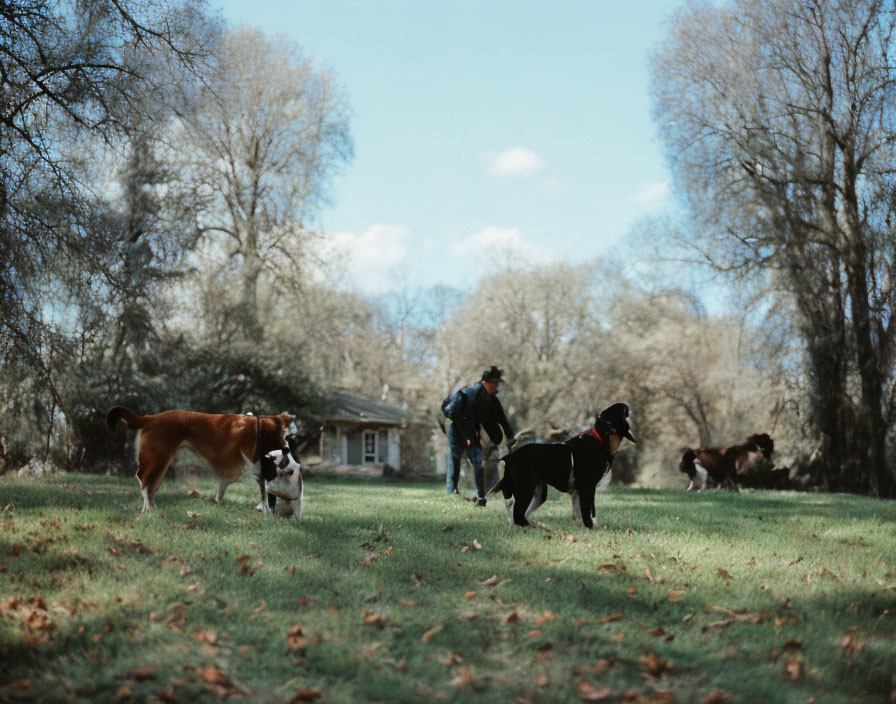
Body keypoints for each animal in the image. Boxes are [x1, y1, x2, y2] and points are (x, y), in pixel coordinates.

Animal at [105, 408, 294, 512]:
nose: (287, 448)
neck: (260, 427)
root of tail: (150, 418)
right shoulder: (260, 468)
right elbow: (264, 494)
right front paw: (268, 512)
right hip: (156, 459)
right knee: (144, 482)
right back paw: (148, 508)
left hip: (161, 463)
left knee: (150, 487)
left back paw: (150, 509)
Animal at [486, 402, 632, 528]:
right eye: (617, 411)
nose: (624, 405)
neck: (601, 441)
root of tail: (510, 456)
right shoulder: (587, 486)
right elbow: (588, 512)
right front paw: (591, 527)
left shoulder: (581, 490)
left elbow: (582, 512)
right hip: (525, 488)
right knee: (518, 515)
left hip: (539, 493)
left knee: (523, 514)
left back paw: (539, 525)